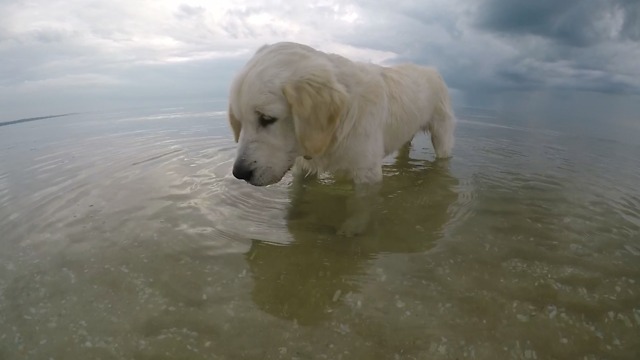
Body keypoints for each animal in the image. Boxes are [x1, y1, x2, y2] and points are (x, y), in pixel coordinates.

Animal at [228, 41, 452, 236]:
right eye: (240, 121)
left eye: (267, 119)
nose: (239, 173)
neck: (337, 127)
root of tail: (431, 70)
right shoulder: (304, 166)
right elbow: (298, 193)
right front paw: (295, 216)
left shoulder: (367, 173)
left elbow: (360, 206)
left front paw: (351, 230)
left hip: (442, 133)